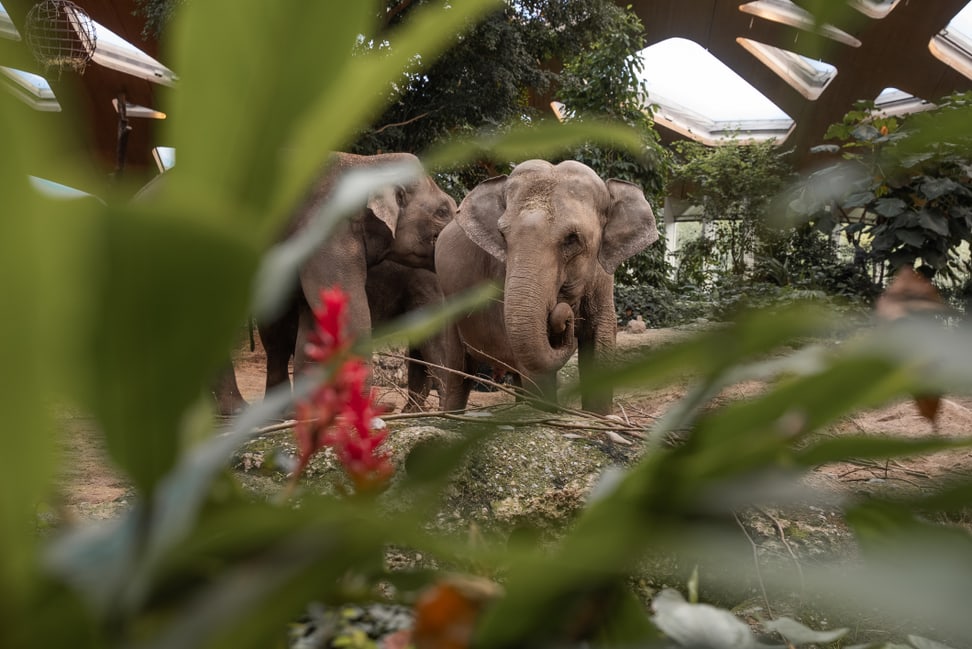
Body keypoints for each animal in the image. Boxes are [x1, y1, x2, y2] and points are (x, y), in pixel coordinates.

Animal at [433, 159, 657, 415]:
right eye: (502, 235)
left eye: (572, 239)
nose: (565, 319)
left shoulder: (602, 278)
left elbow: (600, 342)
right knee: (458, 374)